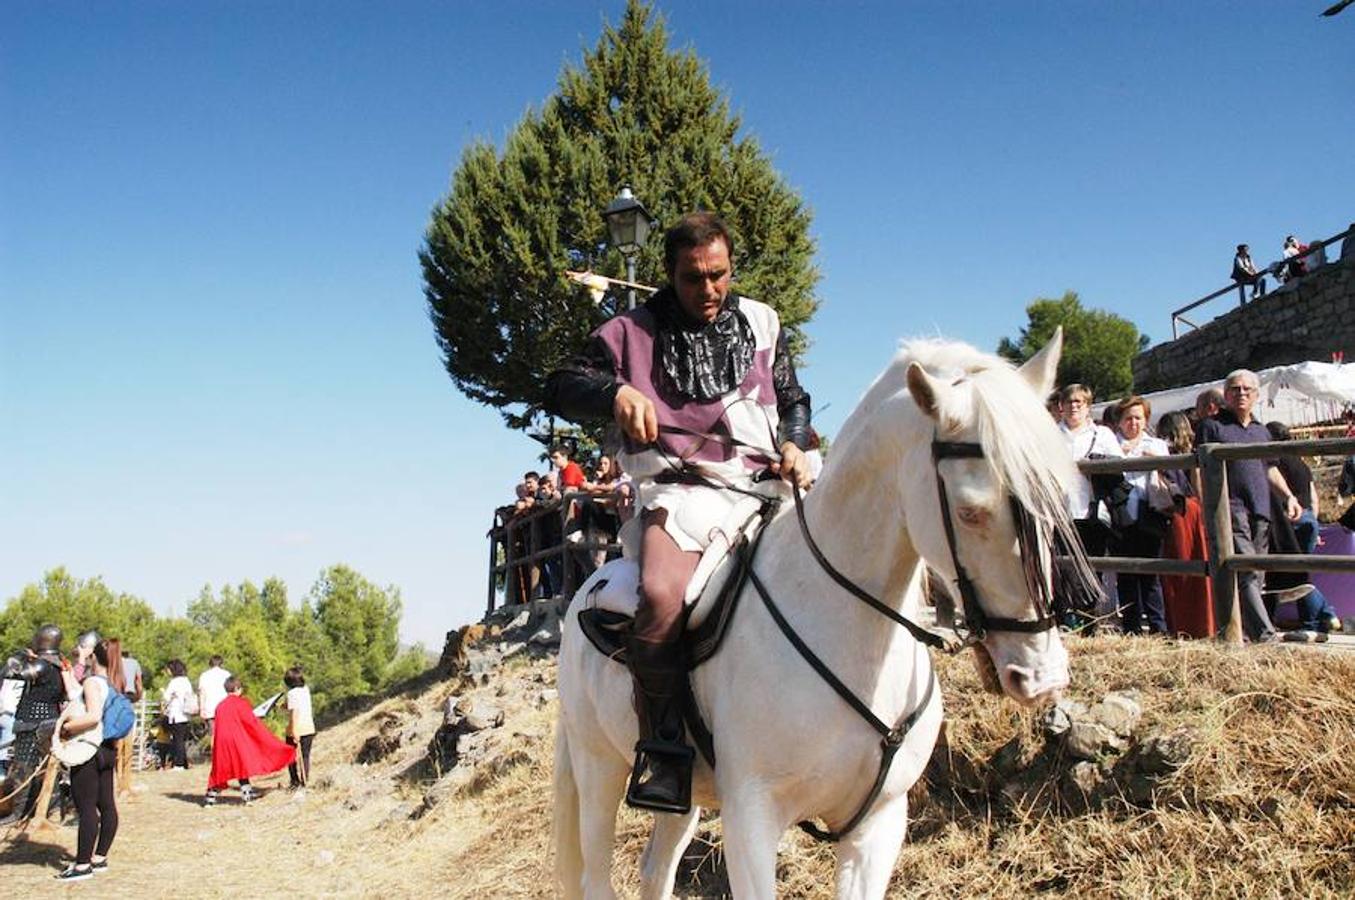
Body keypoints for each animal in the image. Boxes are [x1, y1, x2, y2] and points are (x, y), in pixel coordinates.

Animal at [550, 330, 1089, 900]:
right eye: (971, 511)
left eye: (1058, 497)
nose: (1041, 676)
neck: (847, 625)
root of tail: (592, 584)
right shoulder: (752, 821)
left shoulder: (879, 824)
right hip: (598, 766)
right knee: (595, 875)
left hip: (682, 795)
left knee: (656, 869)